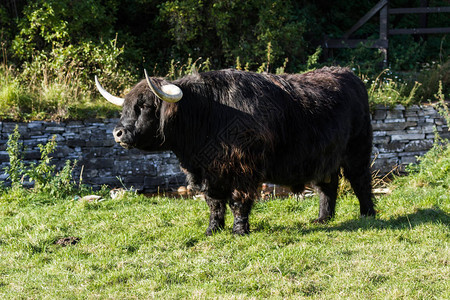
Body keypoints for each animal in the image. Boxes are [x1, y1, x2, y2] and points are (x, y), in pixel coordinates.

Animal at [96, 67, 376, 234]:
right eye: (126, 107)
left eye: (144, 106)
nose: (118, 133)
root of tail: (349, 74)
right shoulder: (209, 172)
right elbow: (214, 202)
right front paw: (213, 229)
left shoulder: (244, 168)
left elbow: (238, 201)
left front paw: (239, 230)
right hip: (322, 156)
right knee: (327, 185)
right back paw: (323, 218)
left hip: (357, 150)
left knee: (360, 181)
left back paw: (367, 215)